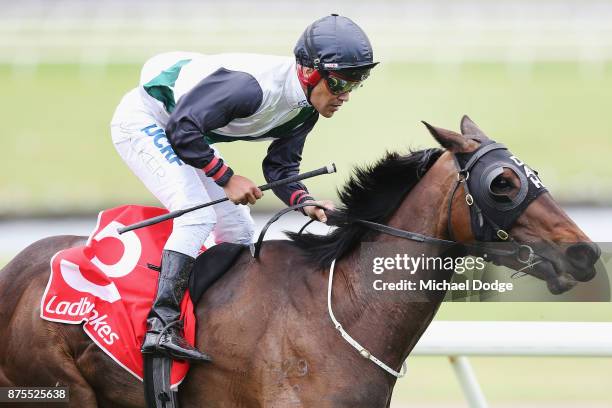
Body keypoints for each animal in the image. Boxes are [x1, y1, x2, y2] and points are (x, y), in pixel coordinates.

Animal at [0, 116, 596, 406]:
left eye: (532, 174)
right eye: (502, 184)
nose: (585, 252)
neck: (342, 311)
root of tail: (16, 270)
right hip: (58, 391)